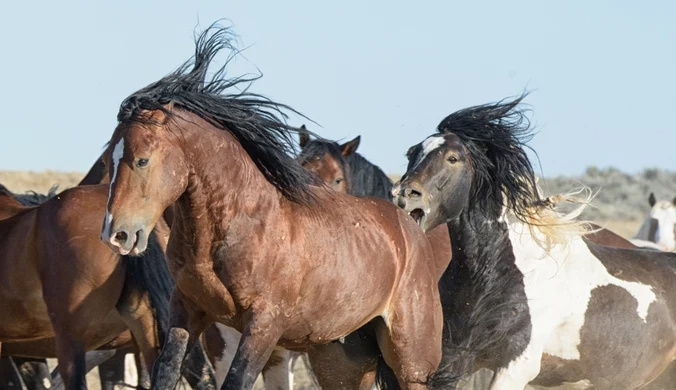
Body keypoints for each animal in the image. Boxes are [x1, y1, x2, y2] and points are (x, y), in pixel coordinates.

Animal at [99, 25, 448, 390]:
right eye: (108, 161)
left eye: (142, 160)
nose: (117, 234)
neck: (238, 223)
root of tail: (410, 232)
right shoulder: (187, 309)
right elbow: (166, 371)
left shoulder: (264, 324)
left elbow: (237, 379)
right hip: (341, 360)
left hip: (410, 361)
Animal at [388, 93, 676, 388]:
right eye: (411, 153)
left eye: (452, 158)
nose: (404, 194)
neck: (493, 275)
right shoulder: (454, 358)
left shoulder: (514, 368)